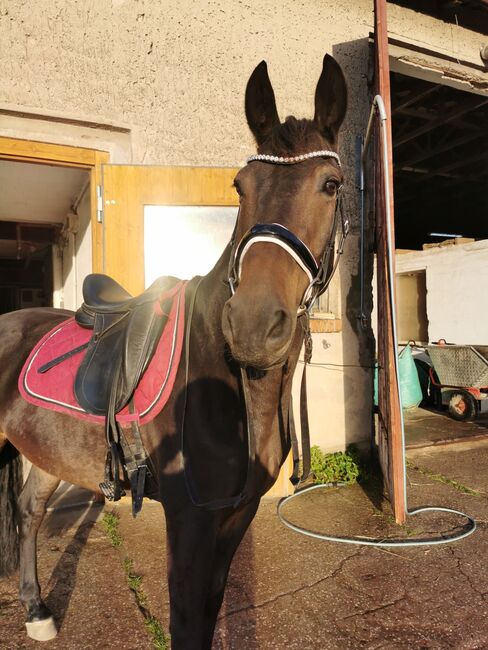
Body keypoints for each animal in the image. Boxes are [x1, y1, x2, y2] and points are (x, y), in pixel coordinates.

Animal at [0, 53, 346, 644]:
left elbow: (209, 613)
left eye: (330, 183)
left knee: (28, 512)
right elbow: (187, 622)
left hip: (46, 453)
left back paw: (38, 612)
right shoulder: (189, 522)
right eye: (239, 185)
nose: (253, 324)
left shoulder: (236, 516)